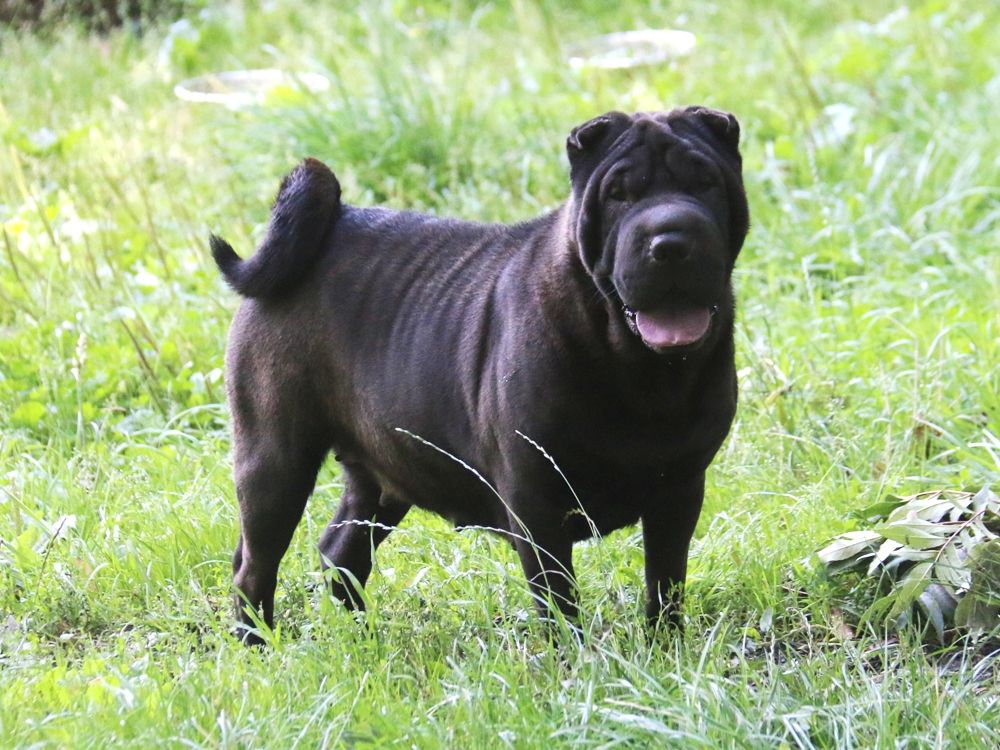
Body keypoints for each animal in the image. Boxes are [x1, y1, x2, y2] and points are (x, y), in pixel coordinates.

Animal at [213, 106, 752, 648]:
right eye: (619, 194)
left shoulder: (679, 493)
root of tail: (329, 225)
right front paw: (574, 659)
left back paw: (365, 640)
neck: (640, 369)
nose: (672, 240)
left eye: (705, 183)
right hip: (275, 461)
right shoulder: (537, 504)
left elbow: (665, 583)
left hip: (382, 476)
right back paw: (257, 645)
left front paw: (666, 647)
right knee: (255, 566)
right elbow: (559, 600)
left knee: (342, 553)